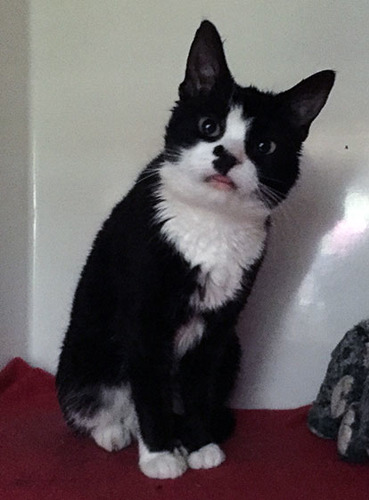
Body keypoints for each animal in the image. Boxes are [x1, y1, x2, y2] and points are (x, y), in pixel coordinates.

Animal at [56, 20, 334, 480]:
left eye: (264, 147)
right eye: (208, 127)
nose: (227, 156)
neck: (212, 223)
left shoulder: (220, 324)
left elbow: (200, 386)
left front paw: (199, 444)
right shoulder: (144, 318)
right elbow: (148, 388)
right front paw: (159, 456)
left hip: (234, 348)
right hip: (86, 349)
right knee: (95, 402)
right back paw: (116, 432)